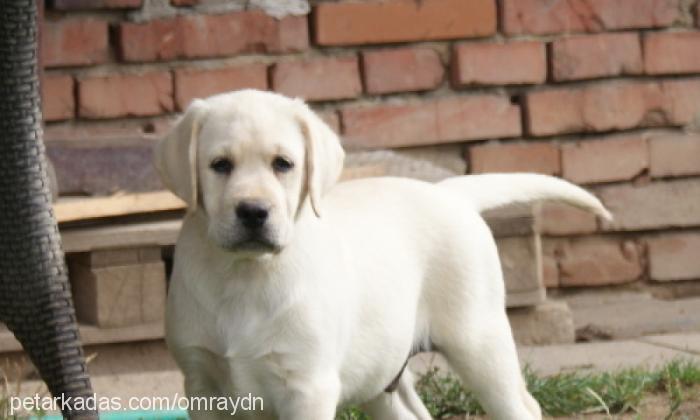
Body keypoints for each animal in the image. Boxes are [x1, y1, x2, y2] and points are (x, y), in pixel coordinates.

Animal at [156, 90, 608, 418]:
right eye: (220, 165)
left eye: (283, 164)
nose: (253, 211)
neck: (245, 274)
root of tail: (449, 192)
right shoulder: (201, 385)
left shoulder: (307, 386)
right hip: (383, 371)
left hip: (479, 339)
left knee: (522, 406)